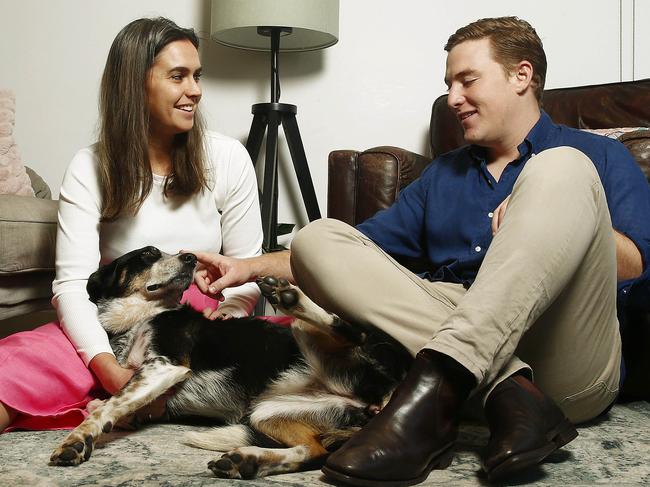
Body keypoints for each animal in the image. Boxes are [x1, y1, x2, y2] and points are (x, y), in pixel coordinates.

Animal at [49, 248, 410, 480]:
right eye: (149, 254)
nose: (191, 257)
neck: (138, 319)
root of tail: (384, 397)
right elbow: (105, 404)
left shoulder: (166, 364)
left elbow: (109, 405)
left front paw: (76, 442)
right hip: (268, 413)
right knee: (315, 452)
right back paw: (246, 462)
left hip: (309, 336)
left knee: (352, 331)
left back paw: (291, 297)